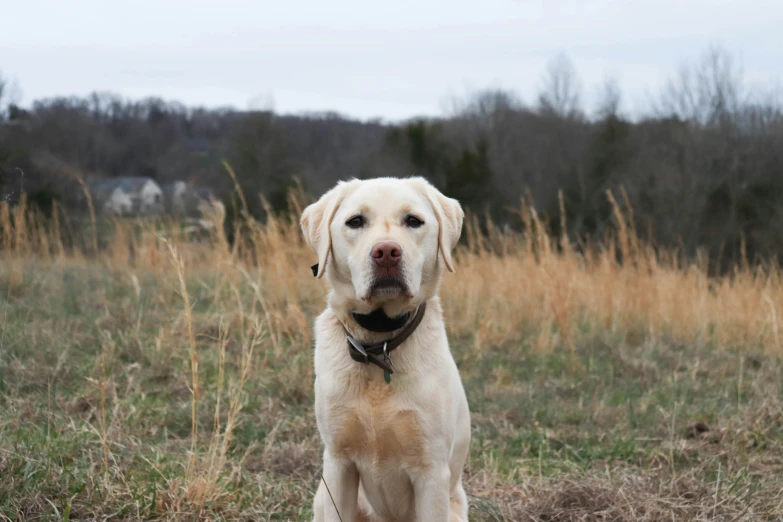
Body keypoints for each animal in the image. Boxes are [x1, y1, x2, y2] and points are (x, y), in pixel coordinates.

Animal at [302, 177, 472, 516]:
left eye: (413, 221)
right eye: (355, 221)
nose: (386, 252)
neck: (377, 345)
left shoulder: (431, 473)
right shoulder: (338, 464)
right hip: (321, 497)